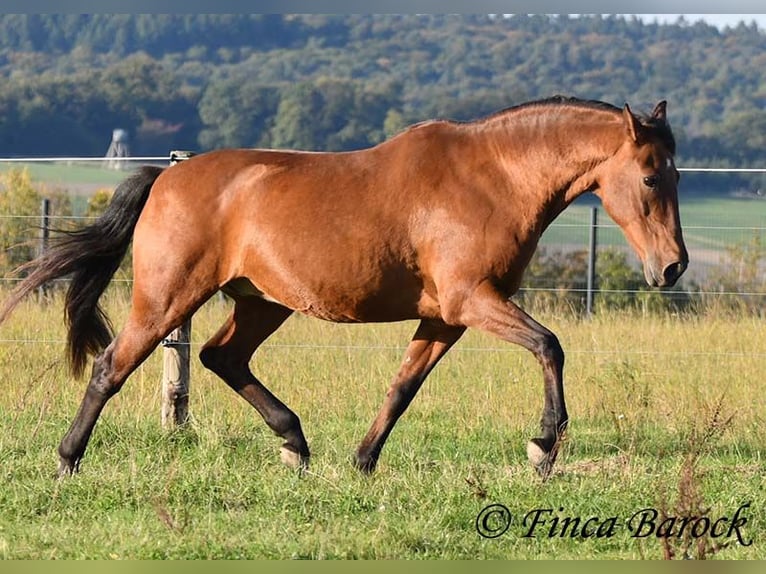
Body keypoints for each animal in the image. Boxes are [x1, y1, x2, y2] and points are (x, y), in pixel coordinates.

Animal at [0, 96, 688, 480]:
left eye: (675, 175)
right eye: (651, 178)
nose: (673, 268)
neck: (492, 177)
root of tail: (165, 179)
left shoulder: (445, 316)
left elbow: (403, 387)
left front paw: (363, 461)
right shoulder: (471, 300)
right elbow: (550, 346)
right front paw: (543, 447)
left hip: (260, 303)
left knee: (222, 357)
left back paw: (295, 444)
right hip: (167, 298)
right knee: (112, 366)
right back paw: (67, 460)